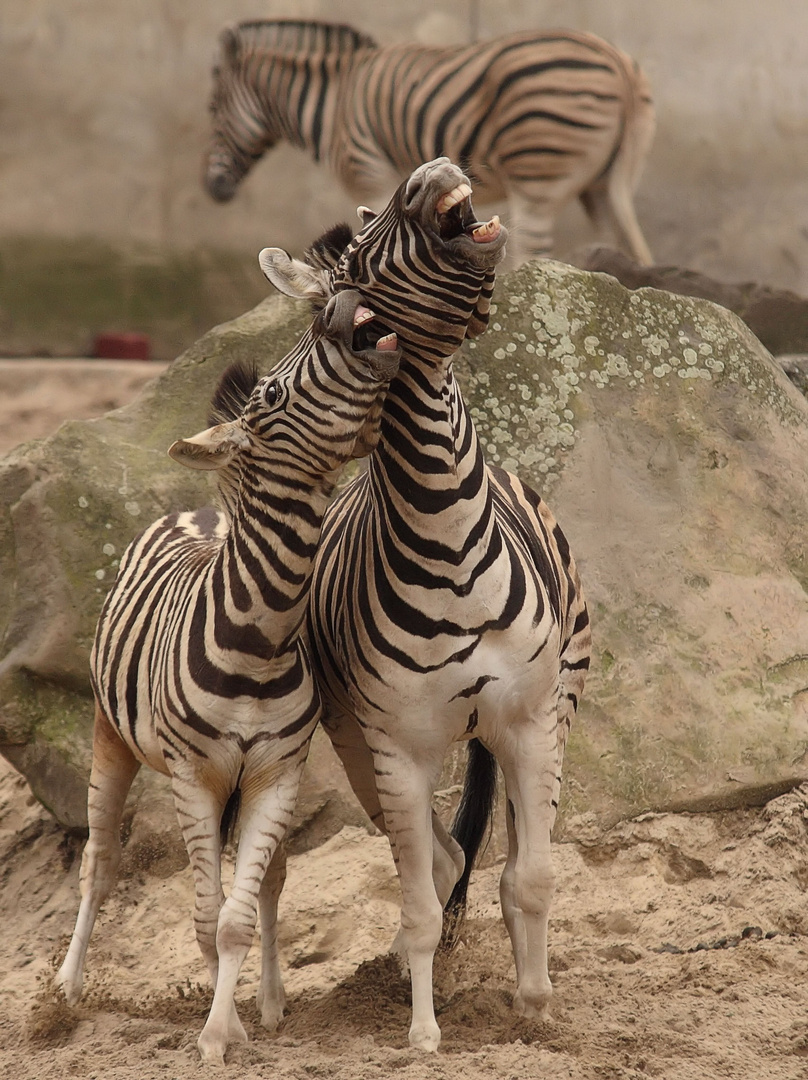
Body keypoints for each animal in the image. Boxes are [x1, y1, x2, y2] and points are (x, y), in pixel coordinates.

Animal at [53, 285, 401, 1062]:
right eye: (273, 390)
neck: (261, 640)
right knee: (99, 863)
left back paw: (268, 1003)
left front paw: (231, 1023)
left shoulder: (276, 773)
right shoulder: (195, 776)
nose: (346, 308)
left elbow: (238, 914)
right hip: (111, 736)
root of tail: (194, 512)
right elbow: (204, 913)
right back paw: (64, 992)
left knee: (267, 882)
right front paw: (219, 1028)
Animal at [206, 19, 656, 265]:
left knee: (535, 258)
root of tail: (617, 61)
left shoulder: (369, 173)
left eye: (212, 108)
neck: (333, 100)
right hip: (601, 186)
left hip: (537, 175)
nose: (213, 190)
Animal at [262, 159, 591, 1054]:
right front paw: (422, 1031)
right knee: (439, 863)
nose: (432, 172)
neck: (448, 537)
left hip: (563, 703)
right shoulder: (396, 750)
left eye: (376, 211)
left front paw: (536, 1009)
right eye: (360, 251)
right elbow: (415, 903)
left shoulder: (528, 721)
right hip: (353, 743)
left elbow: (533, 877)